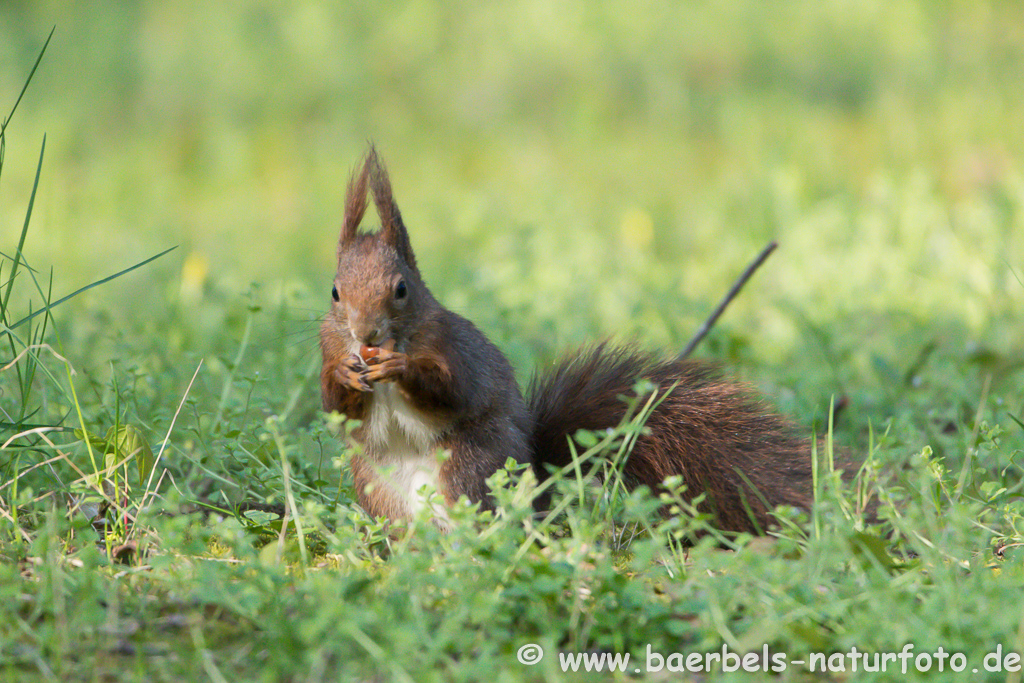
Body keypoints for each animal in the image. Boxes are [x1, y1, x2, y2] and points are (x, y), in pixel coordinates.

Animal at [321, 147, 823, 536]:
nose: (366, 334)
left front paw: (401, 368)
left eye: (401, 289)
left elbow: (450, 392)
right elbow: (337, 408)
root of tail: (534, 483)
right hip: (377, 488)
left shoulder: (452, 348)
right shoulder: (330, 344)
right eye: (335, 292)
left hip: (469, 467)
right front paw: (344, 375)